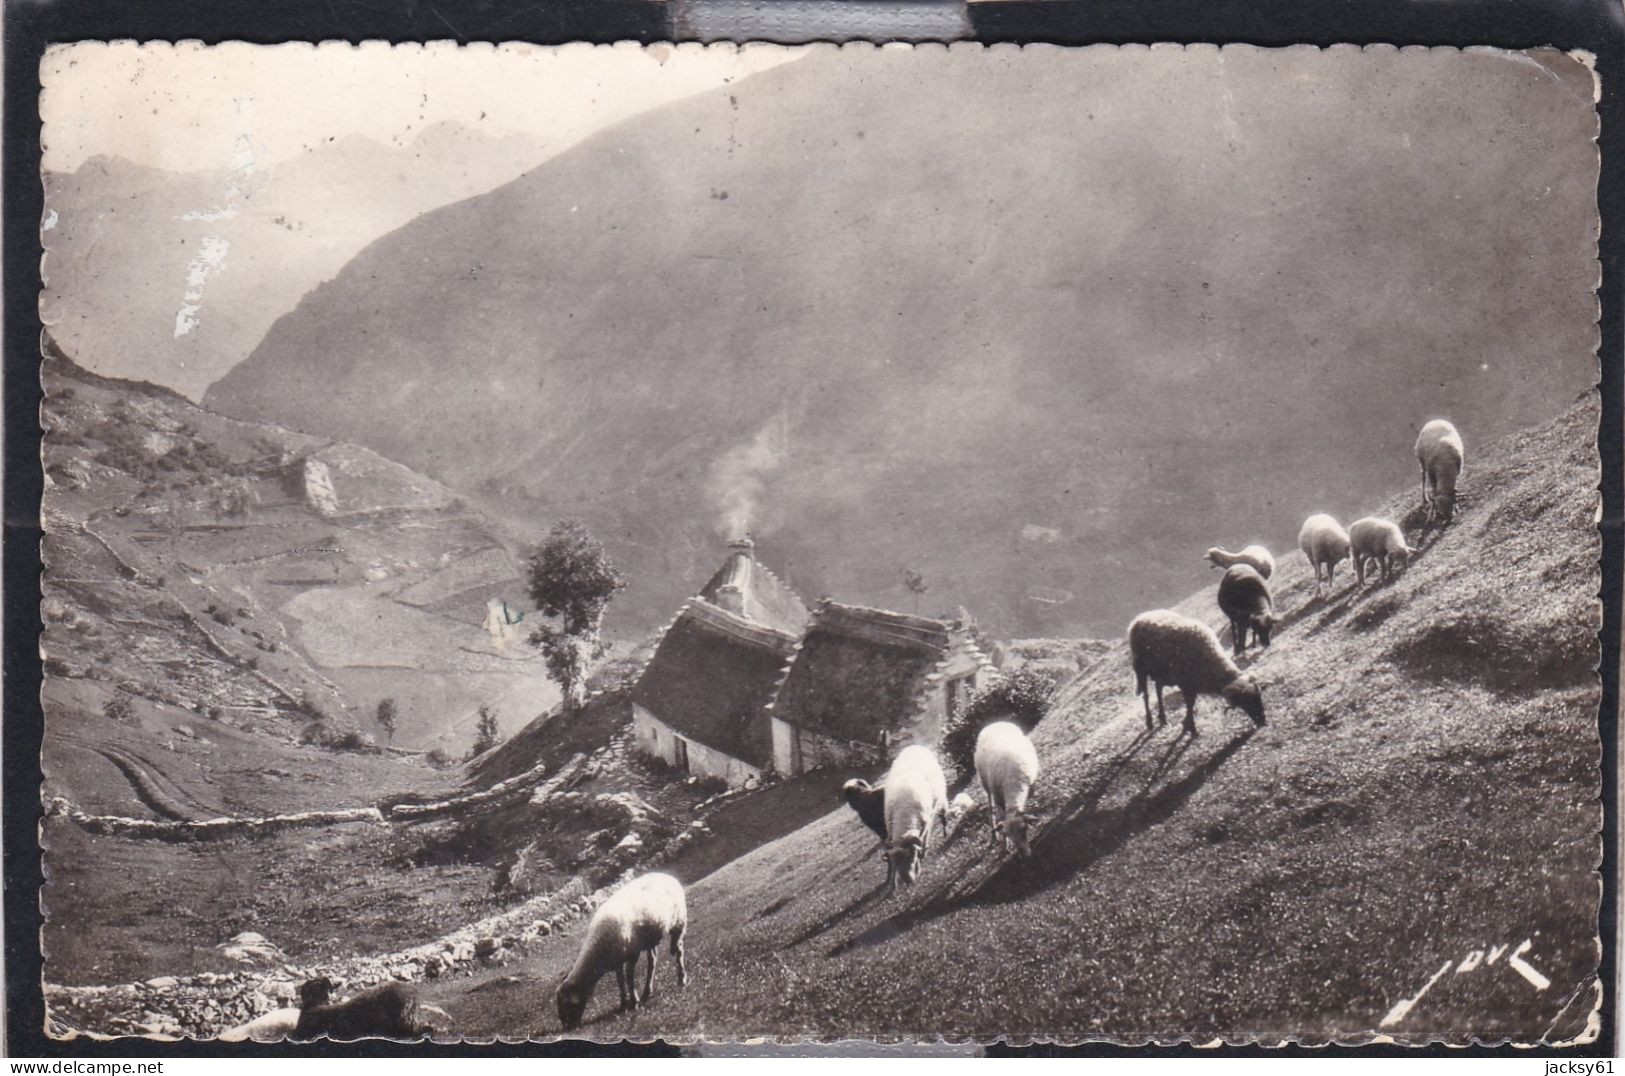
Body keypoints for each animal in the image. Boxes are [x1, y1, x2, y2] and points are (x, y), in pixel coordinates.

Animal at [555, 871, 689, 1033]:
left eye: (567, 1005)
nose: (567, 1028)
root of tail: (666, 875)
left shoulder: (632, 953)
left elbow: (629, 976)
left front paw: (633, 1001)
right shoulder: (617, 959)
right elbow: (620, 980)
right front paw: (623, 1003)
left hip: (678, 922)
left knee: (679, 951)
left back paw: (681, 979)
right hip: (650, 937)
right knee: (652, 961)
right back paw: (647, 991)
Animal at [884, 747, 949, 897]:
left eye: (911, 858)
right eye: (897, 863)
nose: (908, 881)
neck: (904, 815)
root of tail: (914, 746)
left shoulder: (925, 824)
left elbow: (923, 841)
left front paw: (921, 861)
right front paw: (893, 885)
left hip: (940, 798)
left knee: (943, 816)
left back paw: (945, 833)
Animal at [975, 724, 1040, 858]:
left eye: (1024, 830)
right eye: (1009, 835)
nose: (1025, 855)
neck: (1013, 785)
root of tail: (994, 723)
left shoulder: (1031, 786)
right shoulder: (998, 797)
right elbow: (1000, 817)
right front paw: (1004, 846)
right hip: (986, 782)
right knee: (990, 806)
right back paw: (993, 834)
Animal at [1131, 611, 1267, 737]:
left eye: (1259, 698)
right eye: (1247, 702)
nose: (1263, 722)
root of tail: (1139, 618)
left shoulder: (1193, 685)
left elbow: (1191, 705)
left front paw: (1187, 725)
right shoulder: (1186, 685)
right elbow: (1189, 705)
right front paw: (1191, 727)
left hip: (1162, 673)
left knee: (1158, 689)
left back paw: (1162, 717)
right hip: (1141, 669)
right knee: (1146, 695)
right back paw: (1149, 721)